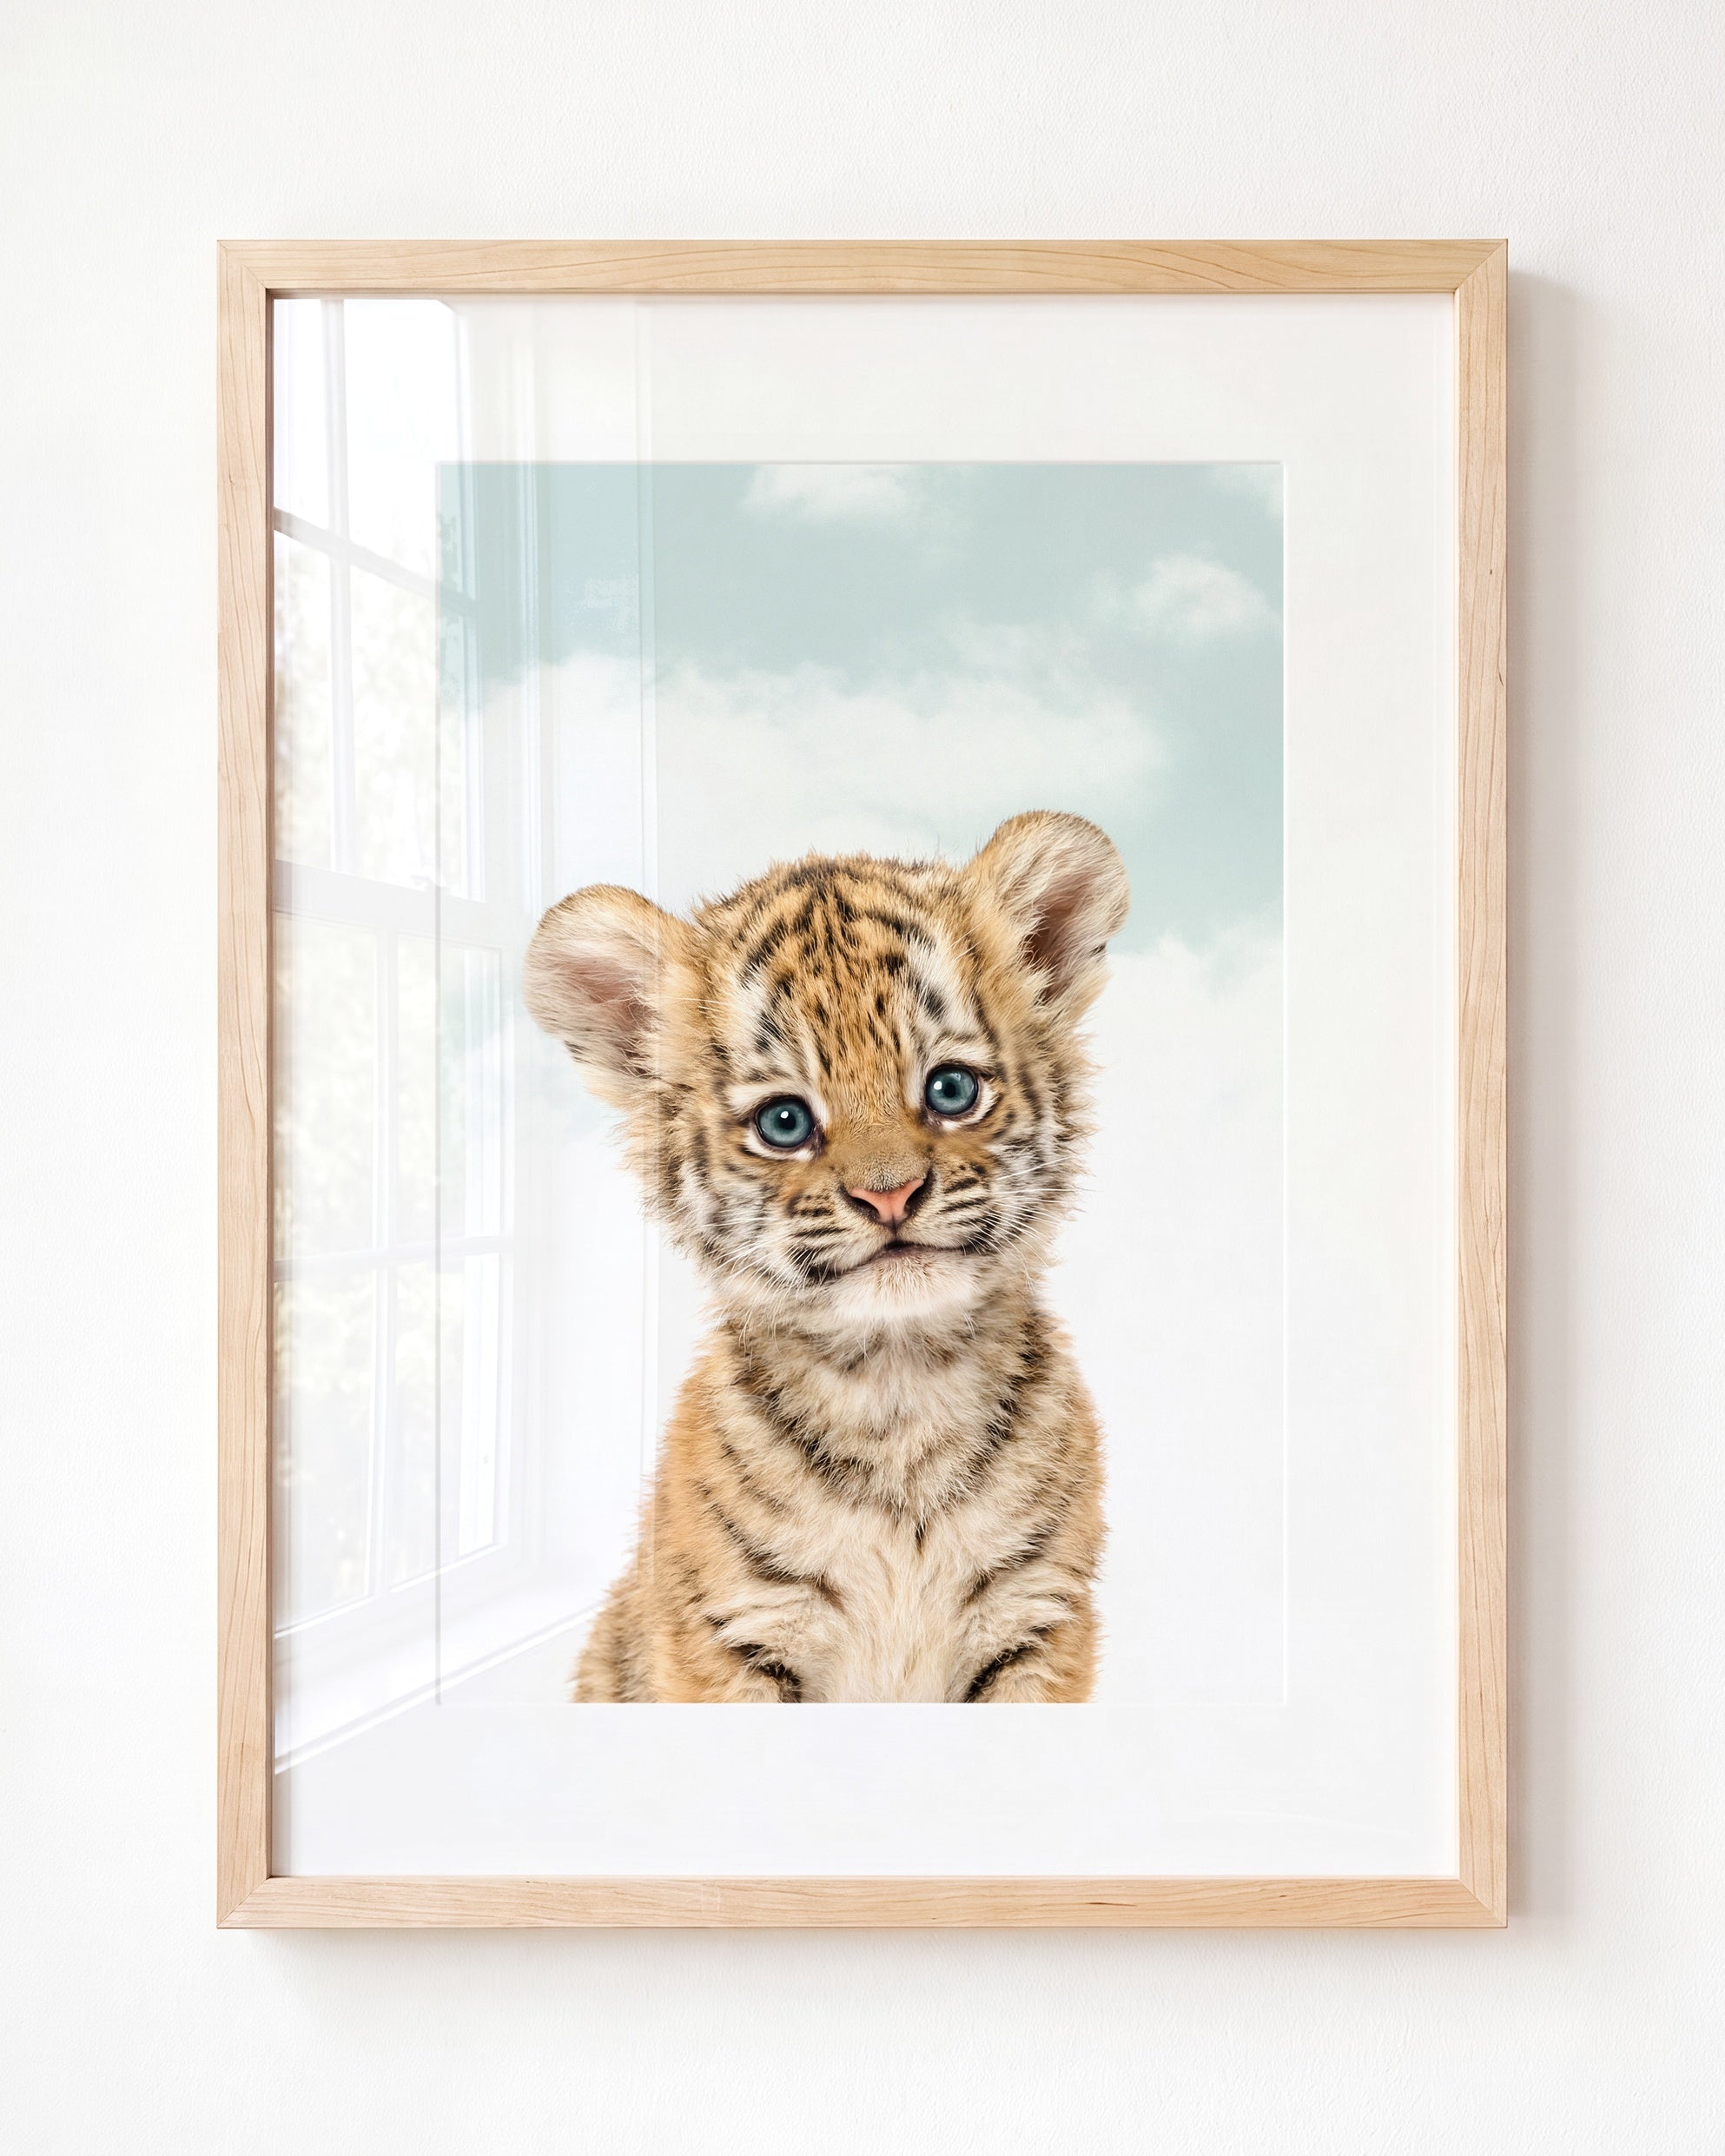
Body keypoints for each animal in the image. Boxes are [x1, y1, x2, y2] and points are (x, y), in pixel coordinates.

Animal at [523, 809, 1129, 1703]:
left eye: (951, 1090)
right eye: (784, 1122)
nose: (890, 1195)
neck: (900, 1390)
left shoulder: (1037, 1620)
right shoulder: (732, 1636)